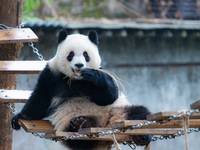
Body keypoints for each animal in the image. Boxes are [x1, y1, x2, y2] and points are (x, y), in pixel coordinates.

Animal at [11, 29, 152, 149]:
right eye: (71, 54)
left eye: (86, 55)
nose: (79, 65)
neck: (76, 80)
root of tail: (107, 125)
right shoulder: (51, 74)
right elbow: (40, 98)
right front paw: (19, 117)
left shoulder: (99, 75)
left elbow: (109, 97)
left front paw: (94, 76)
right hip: (69, 129)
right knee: (80, 140)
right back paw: (84, 123)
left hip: (119, 109)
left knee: (139, 114)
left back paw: (142, 136)